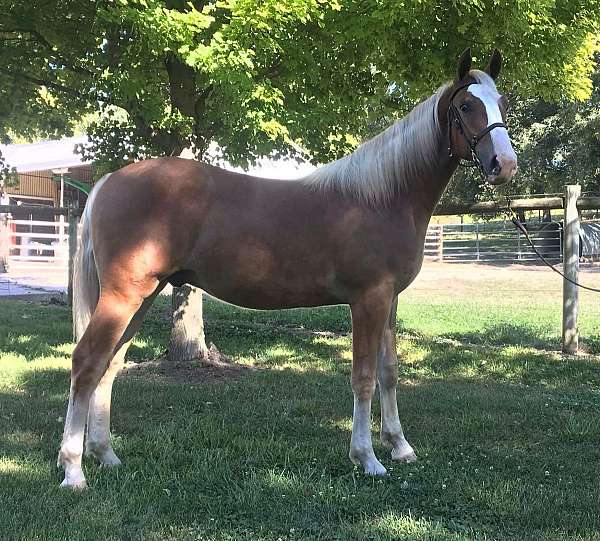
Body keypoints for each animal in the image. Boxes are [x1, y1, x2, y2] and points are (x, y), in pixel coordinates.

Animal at [57, 49, 516, 490]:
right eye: (467, 106)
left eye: (503, 103)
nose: (504, 165)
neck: (383, 198)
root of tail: (109, 181)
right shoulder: (368, 299)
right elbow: (364, 376)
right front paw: (367, 458)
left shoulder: (390, 301)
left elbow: (389, 372)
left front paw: (399, 446)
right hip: (124, 295)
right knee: (87, 363)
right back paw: (74, 471)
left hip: (143, 296)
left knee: (109, 366)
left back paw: (106, 455)